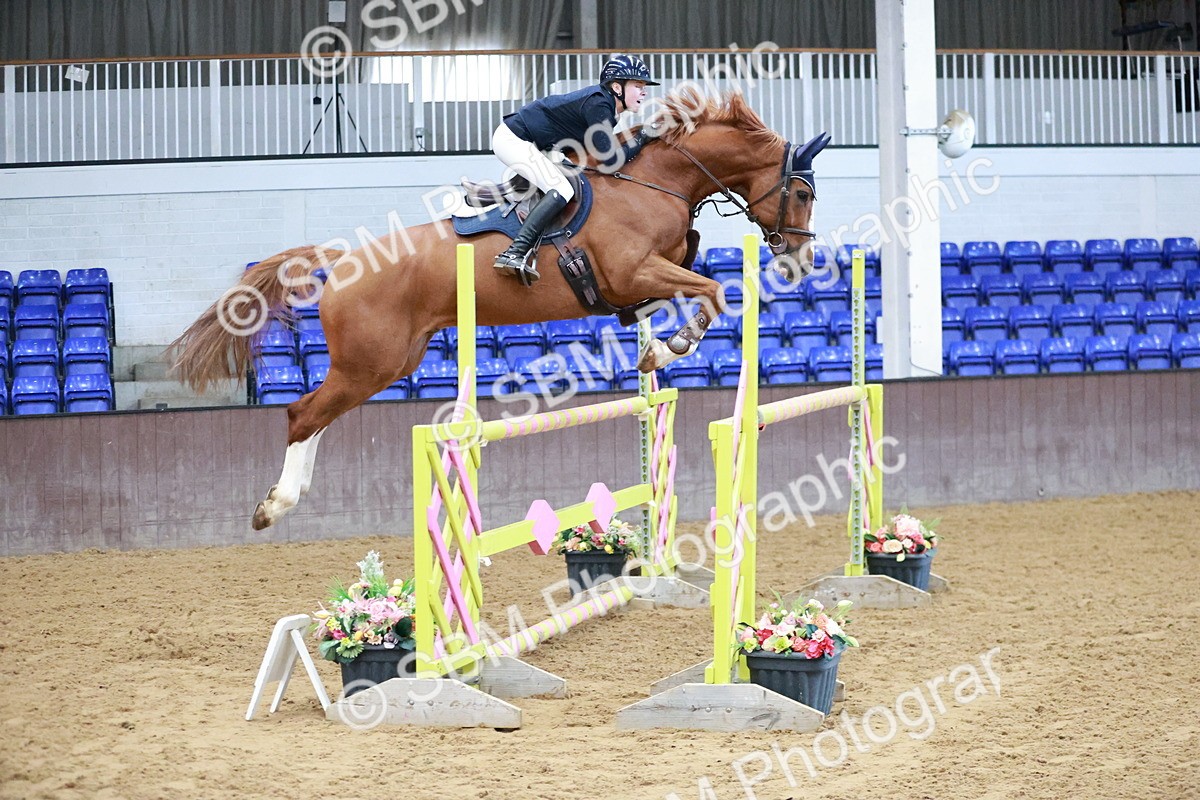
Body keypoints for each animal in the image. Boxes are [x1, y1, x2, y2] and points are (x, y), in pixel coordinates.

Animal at [169, 88, 829, 531]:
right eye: (800, 192)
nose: (799, 261)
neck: (653, 181)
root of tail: (344, 261)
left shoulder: (643, 276)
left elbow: (682, 282)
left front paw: (651, 346)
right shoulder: (632, 269)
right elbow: (711, 292)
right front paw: (674, 345)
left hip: (385, 364)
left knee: (318, 416)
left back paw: (288, 495)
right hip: (370, 363)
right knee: (302, 414)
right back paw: (275, 505)